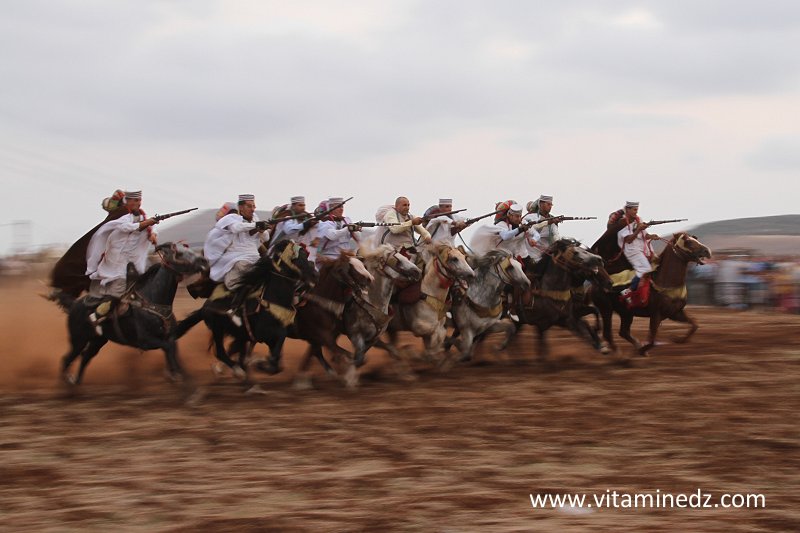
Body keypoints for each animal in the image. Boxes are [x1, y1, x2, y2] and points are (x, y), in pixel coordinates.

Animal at [52, 243, 209, 386]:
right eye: (180, 253)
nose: (203, 260)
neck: (152, 299)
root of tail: (73, 305)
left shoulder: (169, 336)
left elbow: (173, 350)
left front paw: (179, 376)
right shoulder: (145, 341)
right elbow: (169, 348)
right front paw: (178, 378)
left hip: (98, 341)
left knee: (85, 357)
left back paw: (76, 383)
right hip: (78, 340)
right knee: (66, 360)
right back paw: (67, 386)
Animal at [173, 240, 317, 384]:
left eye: (306, 255)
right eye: (299, 258)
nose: (314, 274)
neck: (274, 297)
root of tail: (205, 306)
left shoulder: (271, 337)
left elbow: (277, 363)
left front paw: (261, 363)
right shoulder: (264, 333)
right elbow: (278, 346)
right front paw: (258, 363)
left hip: (239, 335)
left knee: (236, 352)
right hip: (218, 329)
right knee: (220, 352)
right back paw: (238, 371)